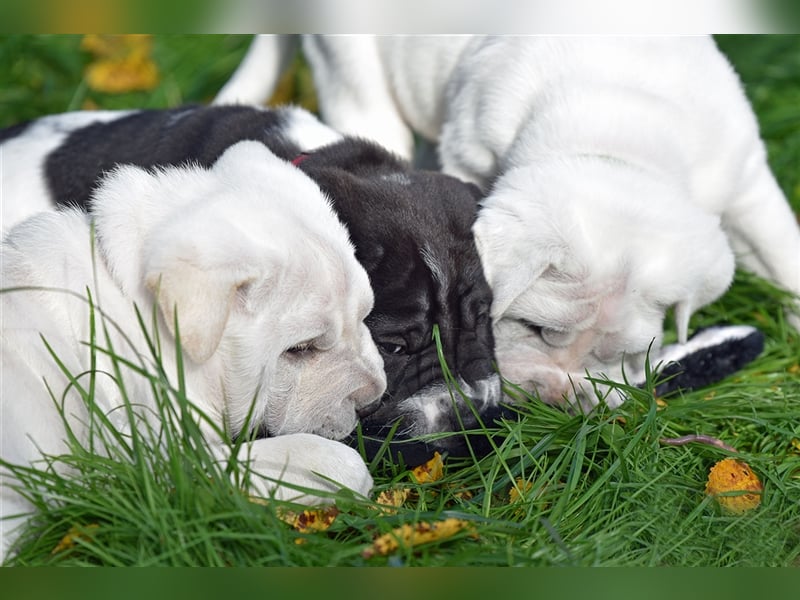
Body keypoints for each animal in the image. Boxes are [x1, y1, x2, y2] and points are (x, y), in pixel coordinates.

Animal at [214, 34, 800, 408]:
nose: (563, 398)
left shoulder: (746, 181)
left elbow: (784, 255)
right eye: (536, 329)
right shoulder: (468, 154)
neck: (619, 139)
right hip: (353, 71)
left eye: (625, 355)